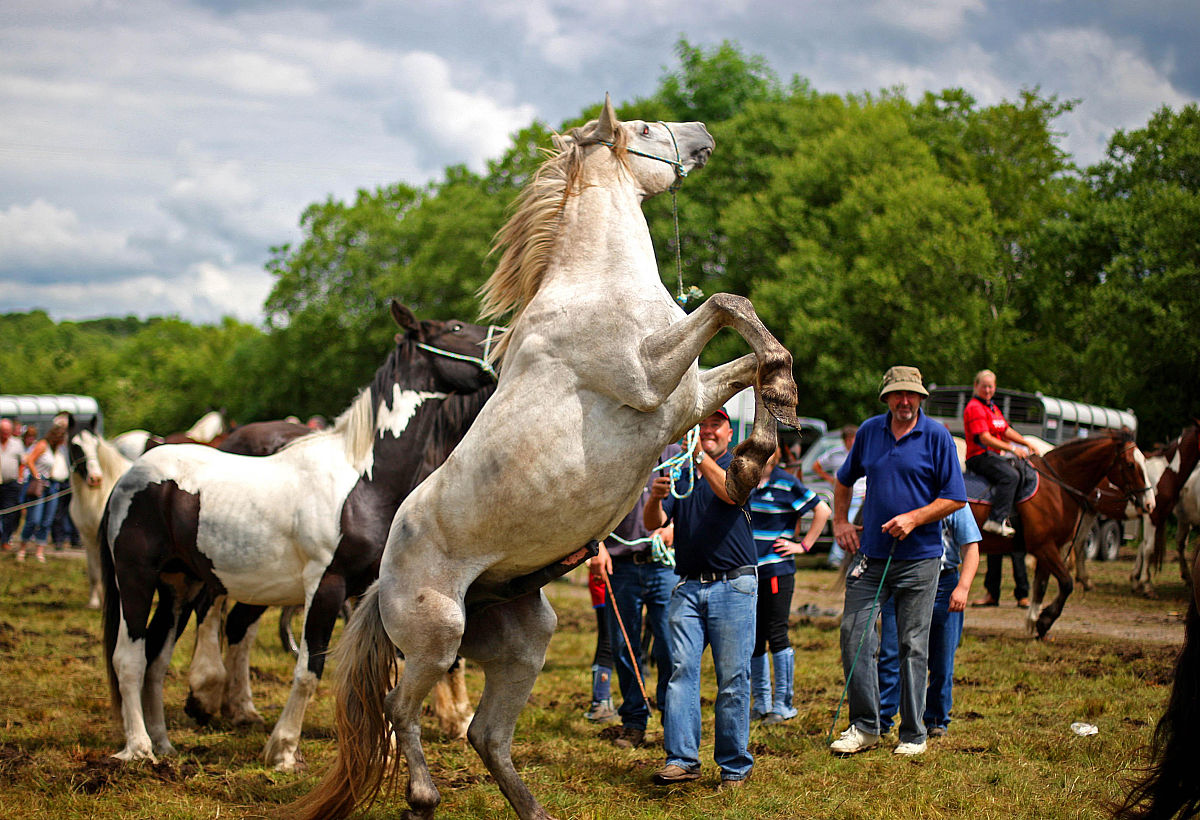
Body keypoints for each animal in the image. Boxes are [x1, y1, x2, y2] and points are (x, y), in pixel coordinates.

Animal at [101, 301, 497, 772]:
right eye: (455, 328)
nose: (504, 338)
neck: (363, 480)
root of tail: (130, 474)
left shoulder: (374, 590)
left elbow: (386, 670)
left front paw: (387, 754)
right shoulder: (325, 587)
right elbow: (309, 670)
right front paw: (284, 750)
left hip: (180, 586)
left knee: (158, 660)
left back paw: (164, 743)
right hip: (136, 579)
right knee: (129, 658)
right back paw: (139, 747)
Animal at [286, 96, 798, 820]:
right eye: (644, 128)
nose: (703, 134)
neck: (594, 282)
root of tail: (382, 583)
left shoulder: (688, 395)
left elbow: (746, 347)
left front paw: (766, 431)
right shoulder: (654, 377)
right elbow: (728, 305)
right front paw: (772, 412)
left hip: (525, 640)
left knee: (486, 734)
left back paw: (532, 810)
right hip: (438, 635)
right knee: (398, 706)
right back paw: (422, 793)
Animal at [970, 431, 1154, 639]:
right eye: (1131, 464)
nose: (1150, 503)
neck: (1056, 486)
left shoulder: (1050, 547)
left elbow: (1041, 586)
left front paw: (1034, 622)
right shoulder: (1044, 547)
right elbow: (1066, 583)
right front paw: (1045, 620)